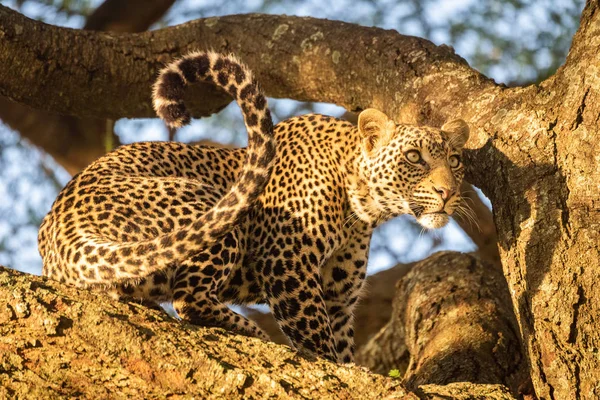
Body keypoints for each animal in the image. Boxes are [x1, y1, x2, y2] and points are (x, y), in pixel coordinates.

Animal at [38, 50, 468, 362]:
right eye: (414, 157)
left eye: (455, 161)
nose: (447, 193)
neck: (362, 209)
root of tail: (62, 229)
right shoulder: (288, 263)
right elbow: (318, 340)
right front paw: (323, 361)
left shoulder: (340, 298)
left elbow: (344, 349)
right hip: (216, 212)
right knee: (187, 296)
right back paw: (255, 333)